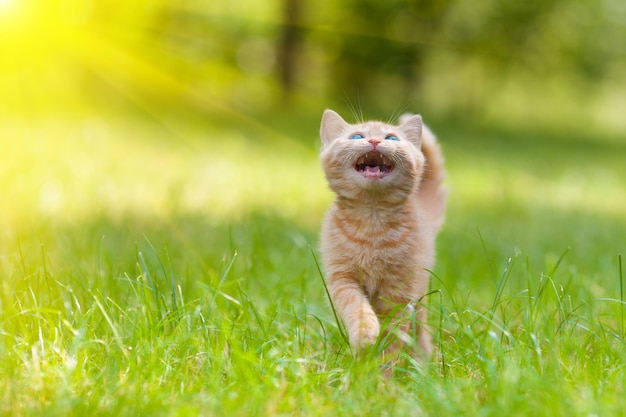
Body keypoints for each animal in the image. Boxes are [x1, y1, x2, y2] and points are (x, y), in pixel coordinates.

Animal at [320, 108, 446, 358]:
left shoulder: (400, 290)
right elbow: (356, 306)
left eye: (392, 138)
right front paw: (364, 337)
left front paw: (383, 365)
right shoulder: (342, 278)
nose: (375, 141)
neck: (372, 224)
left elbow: (394, 333)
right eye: (357, 136)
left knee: (420, 333)